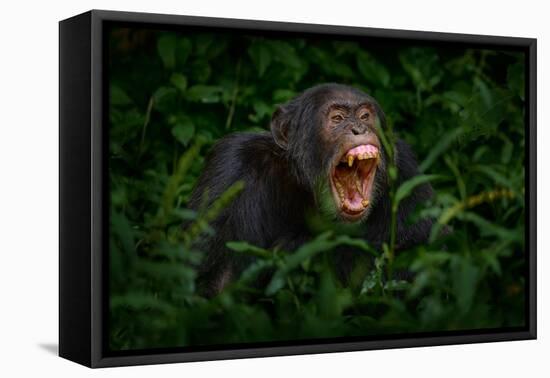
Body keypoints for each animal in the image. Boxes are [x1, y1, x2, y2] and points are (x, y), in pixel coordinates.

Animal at [189, 83, 436, 296]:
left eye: (365, 116)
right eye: (337, 118)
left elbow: (420, 252)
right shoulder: (231, 167)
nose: (359, 128)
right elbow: (216, 277)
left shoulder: (405, 169)